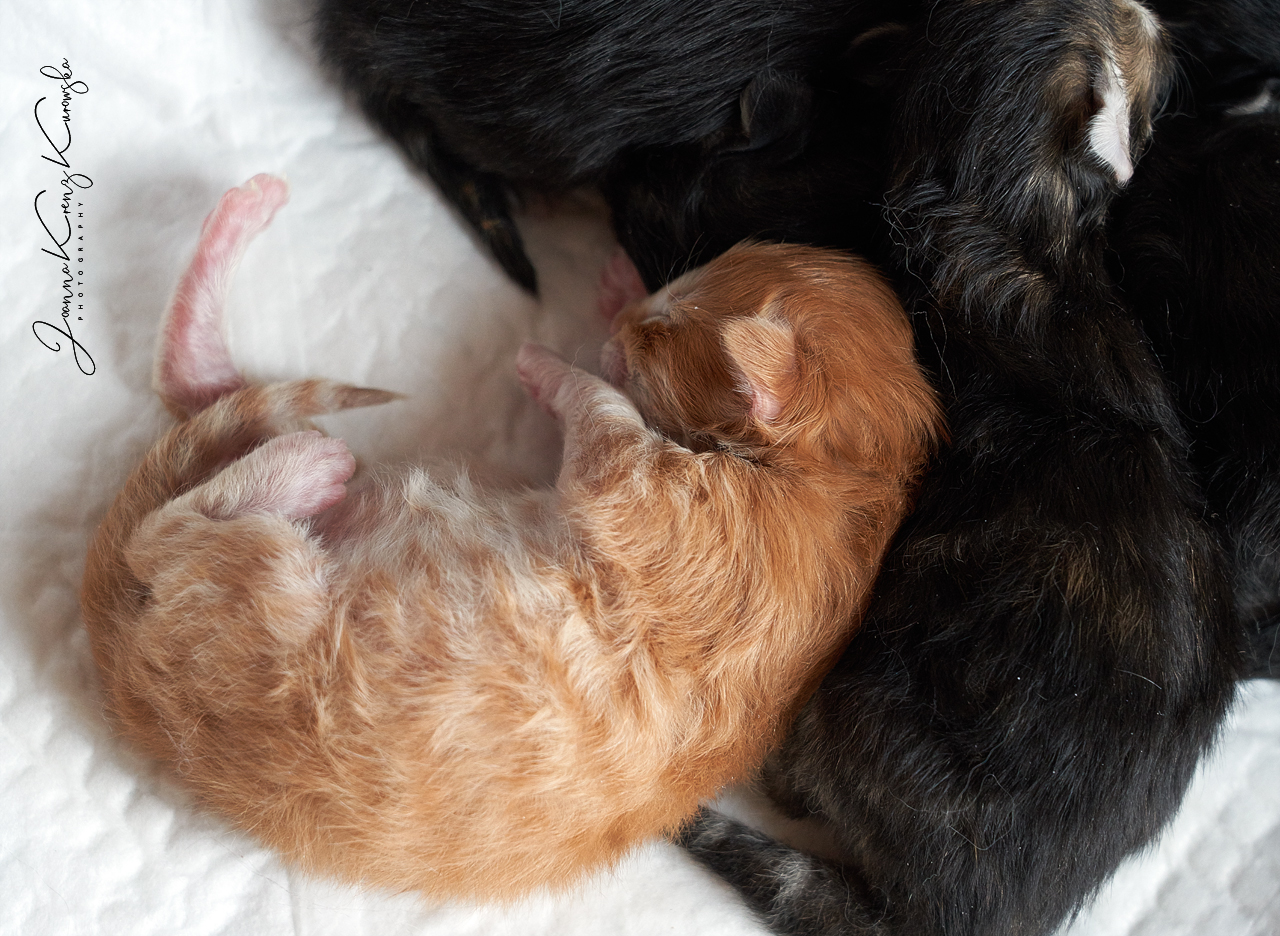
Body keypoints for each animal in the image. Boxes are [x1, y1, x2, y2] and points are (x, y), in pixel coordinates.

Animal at [79, 174, 942, 902]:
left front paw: (550, 359)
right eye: (667, 294)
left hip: (258, 584)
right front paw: (609, 291)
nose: (626, 321)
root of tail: (126, 673)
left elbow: (599, 421)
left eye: (664, 329)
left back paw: (309, 465)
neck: (853, 483)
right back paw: (245, 227)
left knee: (170, 522)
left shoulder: (646, 496)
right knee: (199, 396)